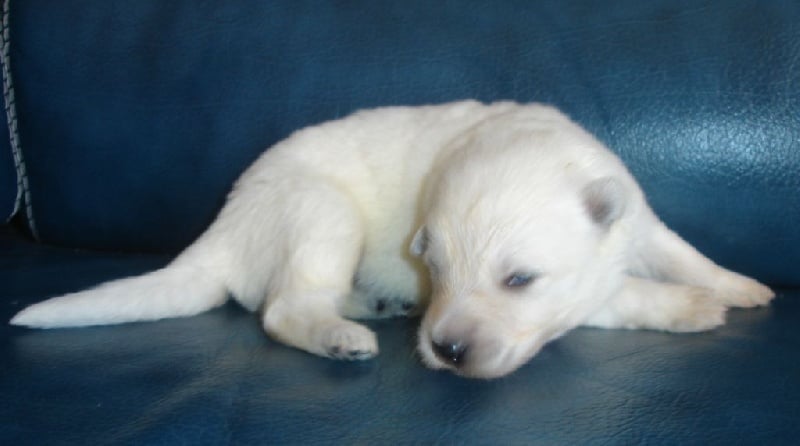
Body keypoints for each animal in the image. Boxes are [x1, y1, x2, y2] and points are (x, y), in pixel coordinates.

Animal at [10, 100, 774, 378]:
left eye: (517, 279)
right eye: (437, 269)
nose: (447, 349)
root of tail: (217, 234)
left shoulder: (635, 218)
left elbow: (680, 251)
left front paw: (740, 286)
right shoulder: (584, 291)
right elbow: (619, 292)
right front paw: (688, 307)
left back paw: (372, 306)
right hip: (321, 214)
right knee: (284, 308)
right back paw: (339, 335)